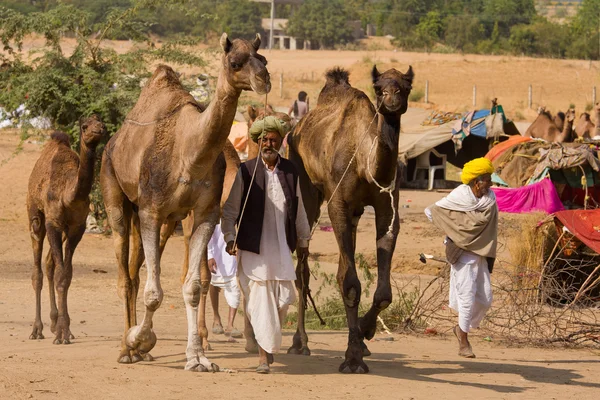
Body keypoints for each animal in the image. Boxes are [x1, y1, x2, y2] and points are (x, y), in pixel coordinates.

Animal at [27, 115, 106, 344]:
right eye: (84, 126)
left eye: (101, 122)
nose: (99, 129)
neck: (68, 194)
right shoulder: (52, 223)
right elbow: (61, 274)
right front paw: (61, 334)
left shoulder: (76, 227)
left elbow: (66, 274)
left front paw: (65, 330)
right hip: (35, 214)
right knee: (37, 270)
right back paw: (37, 330)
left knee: (48, 264)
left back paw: (53, 323)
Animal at [100, 32, 270, 370]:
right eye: (235, 62)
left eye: (264, 59)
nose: (264, 79)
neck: (189, 155)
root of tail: (113, 142)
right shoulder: (151, 210)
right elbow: (154, 293)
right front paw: (140, 338)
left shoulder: (205, 213)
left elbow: (191, 287)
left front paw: (197, 358)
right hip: (116, 193)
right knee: (125, 274)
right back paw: (127, 348)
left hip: (167, 221)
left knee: (136, 272)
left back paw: (140, 350)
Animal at [288, 64, 412, 374]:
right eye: (379, 87)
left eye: (406, 86)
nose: (391, 98)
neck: (364, 162)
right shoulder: (338, 205)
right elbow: (349, 282)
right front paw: (353, 358)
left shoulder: (387, 205)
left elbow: (383, 292)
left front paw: (365, 333)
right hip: (304, 184)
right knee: (302, 269)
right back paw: (299, 343)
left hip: (354, 213)